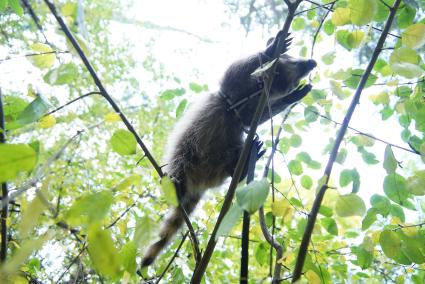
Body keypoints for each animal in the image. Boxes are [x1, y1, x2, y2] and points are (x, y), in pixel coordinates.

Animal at [142, 35, 314, 266]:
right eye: (296, 62)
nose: (312, 63)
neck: (262, 85)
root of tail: (198, 183)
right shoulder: (232, 91)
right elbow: (236, 70)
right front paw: (271, 49)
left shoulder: (249, 106)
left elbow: (250, 118)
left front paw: (289, 99)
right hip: (188, 147)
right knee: (182, 156)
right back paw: (177, 181)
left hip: (220, 162)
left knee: (235, 151)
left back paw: (240, 165)